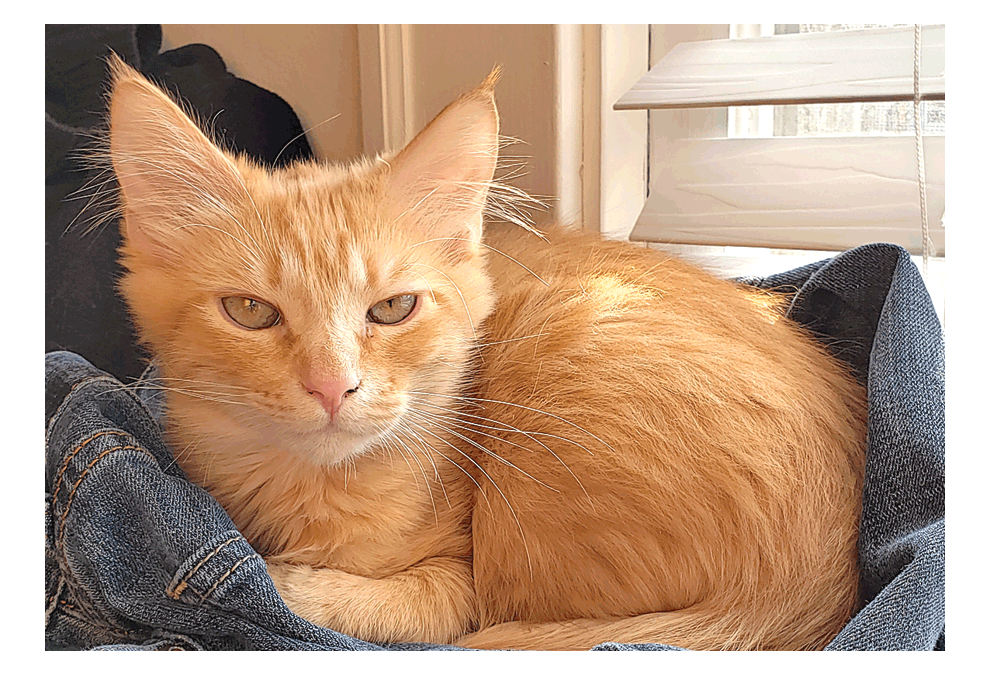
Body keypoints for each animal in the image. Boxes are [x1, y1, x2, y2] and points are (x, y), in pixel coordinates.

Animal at [106, 56, 868, 648]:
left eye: (393, 308)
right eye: (250, 312)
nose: (331, 386)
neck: (313, 488)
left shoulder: (462, 584)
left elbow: (390, 605)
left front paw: (287, 584)